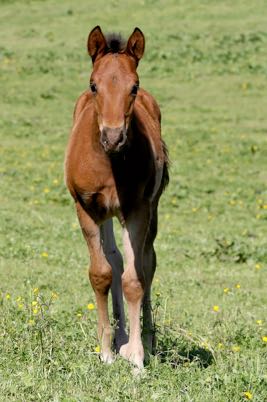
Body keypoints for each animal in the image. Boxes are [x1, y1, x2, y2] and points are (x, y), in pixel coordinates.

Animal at [64, 25, 169, 370]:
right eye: (93, 85)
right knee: (115, 258)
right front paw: (107, 350)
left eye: (133, 86)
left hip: (150, 208)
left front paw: (136, 356)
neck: (109, 162)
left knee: (148, 261)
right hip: (107, 214)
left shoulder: (137, 209)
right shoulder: (86, 208)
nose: (113, 137)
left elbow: (135, 278)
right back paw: (120, 336)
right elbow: (102, 274)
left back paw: (144, 339)